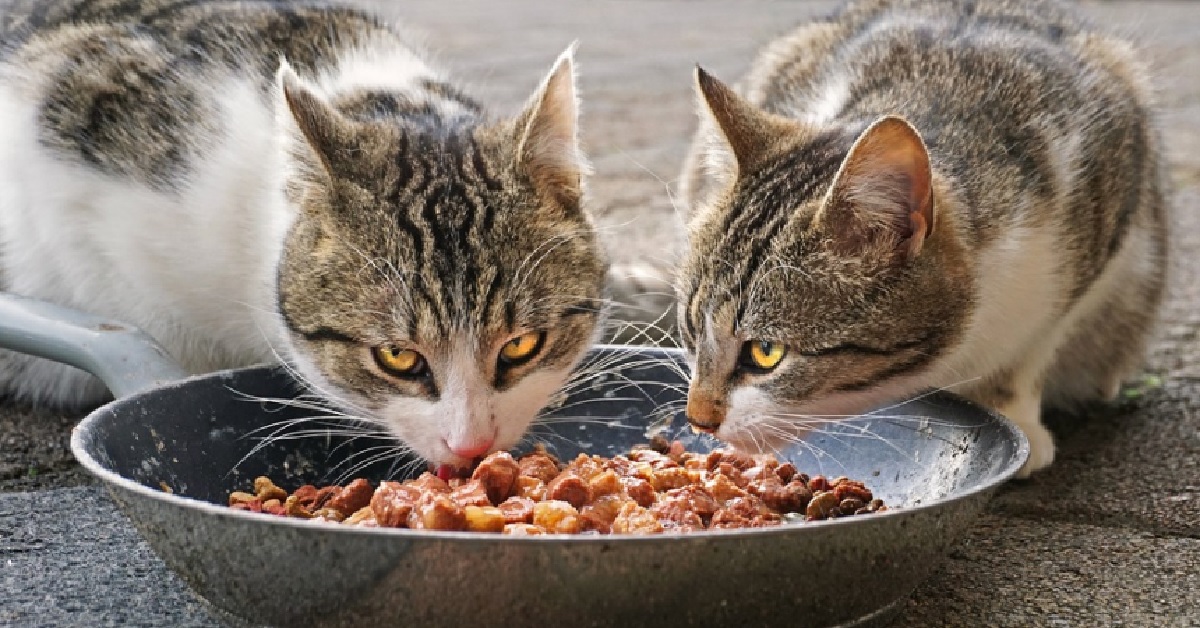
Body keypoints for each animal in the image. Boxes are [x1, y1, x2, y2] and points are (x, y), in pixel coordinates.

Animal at [676, 0, 1161, 477]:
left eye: (766, 353)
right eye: (691, 328)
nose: (698, 419)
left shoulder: (1106, 195)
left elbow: (1032, 347)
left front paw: (1013, 411)